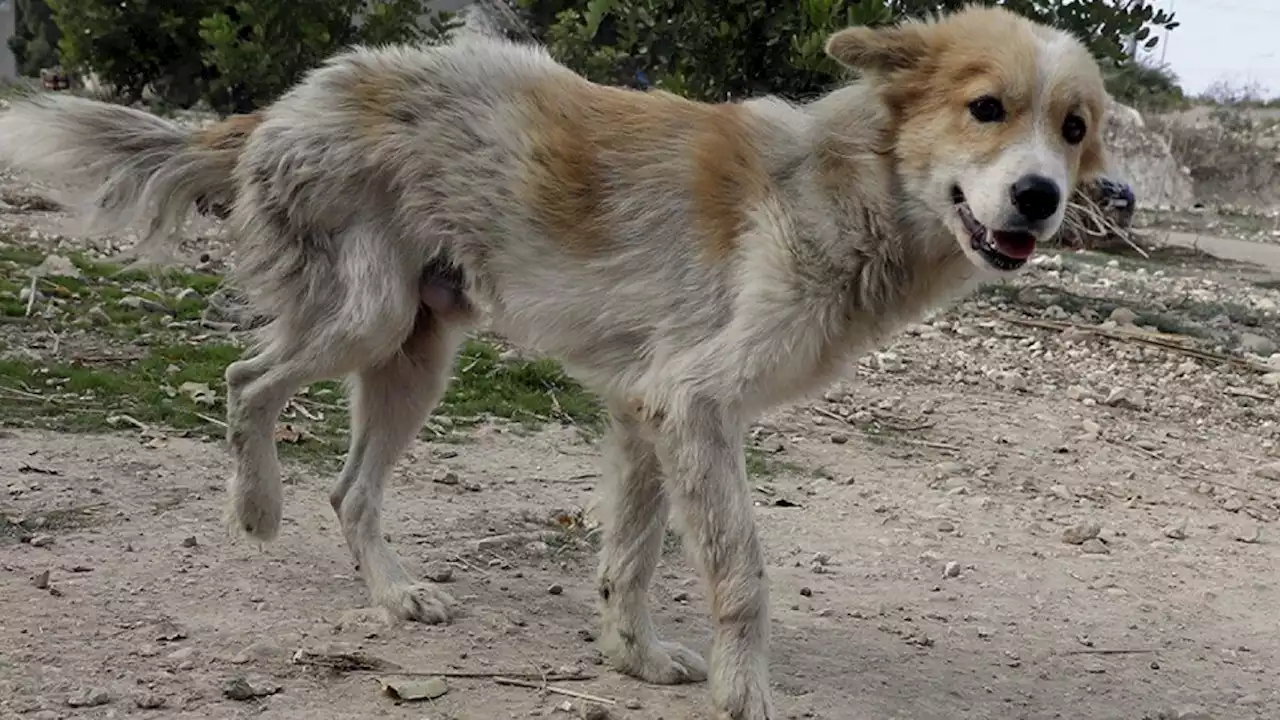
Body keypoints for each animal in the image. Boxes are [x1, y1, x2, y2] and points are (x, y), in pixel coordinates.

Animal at [0, 7, 1111, 717]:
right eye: (985, 108)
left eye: (1073, 129)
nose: (1041, 199)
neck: (848, 183)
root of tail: (292, 97)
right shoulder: (694, 404)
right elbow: (741, 570)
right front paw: (745, 692)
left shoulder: (646, 410)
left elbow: (631, 556)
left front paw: (634, 657)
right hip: (365, 319)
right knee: (244, 383)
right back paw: (257, 508)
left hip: (416, 356)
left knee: (351, 490)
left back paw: (393, 596)